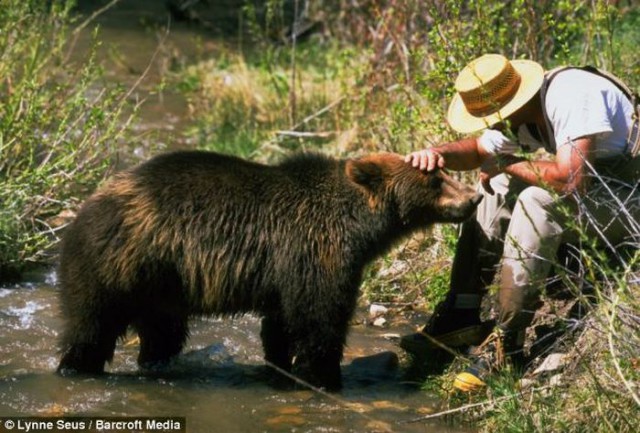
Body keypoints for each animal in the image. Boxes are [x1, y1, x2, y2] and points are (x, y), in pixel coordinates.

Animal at [57, 150, 480, 390]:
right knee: (91, 326)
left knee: (163, 332)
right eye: (436, 179)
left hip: (161, 285)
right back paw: (76, 367)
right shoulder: (314, 250)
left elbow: (281, 323)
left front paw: (282, 366)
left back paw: (157, 363)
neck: (359, 225)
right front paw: (324, 377)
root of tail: (87, 205)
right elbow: (319, 318)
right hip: (118, 265)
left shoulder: (286, 272)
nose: (474, 197)